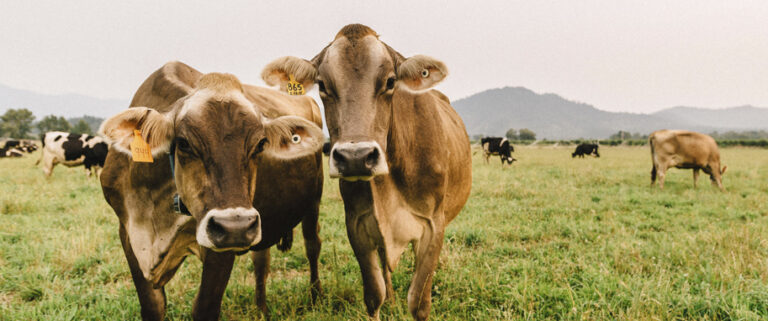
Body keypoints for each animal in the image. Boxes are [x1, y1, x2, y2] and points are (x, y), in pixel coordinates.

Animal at [98, 61, 324, 318]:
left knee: (312, 245)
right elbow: (152, 306)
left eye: (260, 144)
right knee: (261, 260)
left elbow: (204, 307)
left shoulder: (223, 244)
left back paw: (316, 298)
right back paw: (261, 310)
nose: (236, 225)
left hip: (310, 201)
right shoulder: (128, 235)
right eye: (183, 143)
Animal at [260, 23, 472, 318]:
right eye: (322, 85)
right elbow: (373, 295)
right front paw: (384, 299)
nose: (356, 158)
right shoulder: (357, 225)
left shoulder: (433, 226)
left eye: (391, 82)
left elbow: (419, 302)